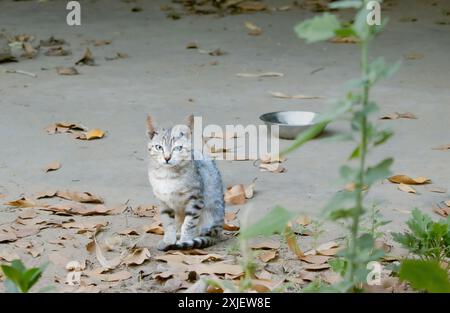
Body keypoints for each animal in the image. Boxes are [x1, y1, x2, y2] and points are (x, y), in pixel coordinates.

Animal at [146, 113, 225, 250]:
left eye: (178, 148)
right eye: (158, 147)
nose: (167, 158)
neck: (167, 175)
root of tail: (218, 230)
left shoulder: (195, 199)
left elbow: (189, 224)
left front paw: (184, 241)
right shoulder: (163, 201)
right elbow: (168, 223)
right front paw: (168, 240)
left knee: (201, 231)